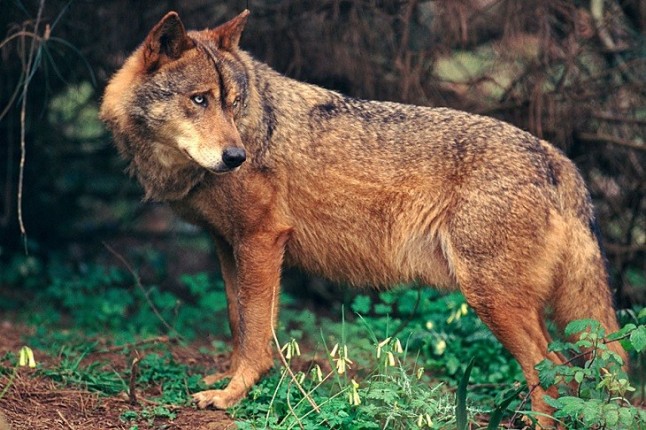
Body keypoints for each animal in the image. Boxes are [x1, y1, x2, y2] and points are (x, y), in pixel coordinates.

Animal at [100, 10, 627, 427]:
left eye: (232, 104)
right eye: (200, 100)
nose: (237, 156)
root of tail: (556, 158)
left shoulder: (263, 240)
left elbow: (254, 333)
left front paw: (233, 394)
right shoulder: (228, 245)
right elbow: (239, 320)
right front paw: (228, 378)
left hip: (492, 299)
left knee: (553, 372)